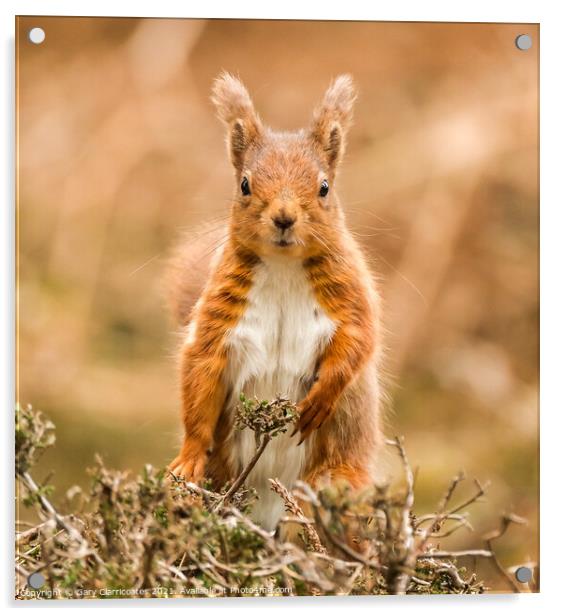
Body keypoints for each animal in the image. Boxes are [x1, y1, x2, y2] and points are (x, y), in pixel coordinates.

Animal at [169, 73, 384, 528]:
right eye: (245, 185)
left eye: (324, 187)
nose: (284, 218)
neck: (285, 268)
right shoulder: (218, 319)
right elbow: (200, 376)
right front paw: (189, 456)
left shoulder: (352, 298)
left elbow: (357, 342)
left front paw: (320, 399)